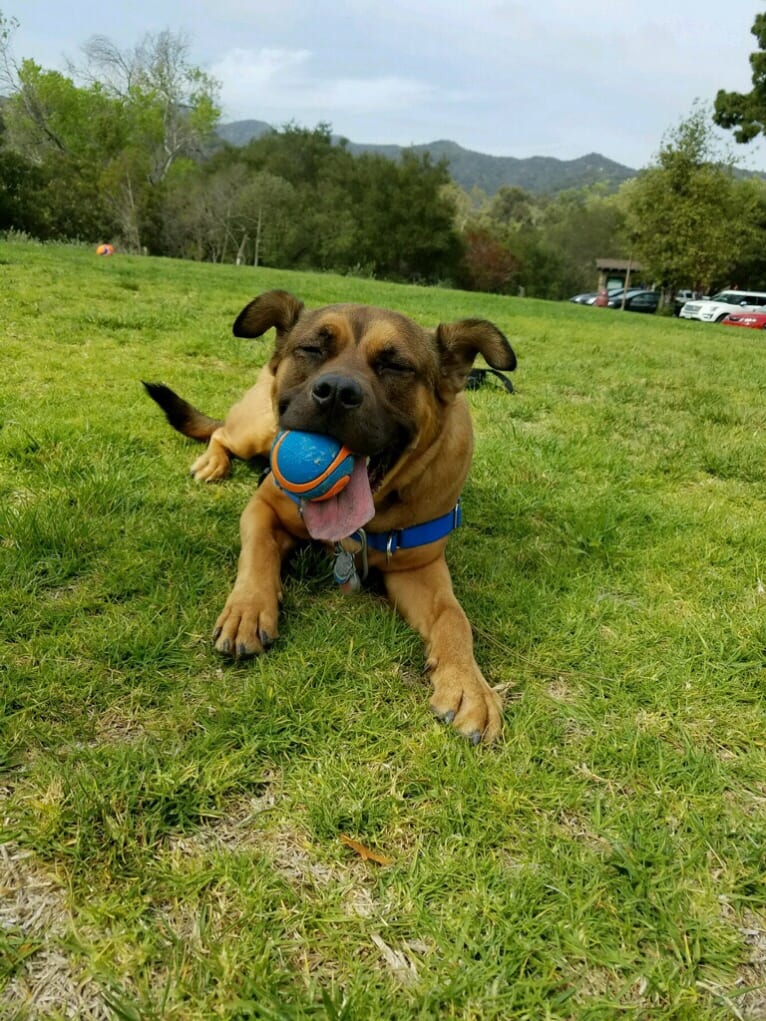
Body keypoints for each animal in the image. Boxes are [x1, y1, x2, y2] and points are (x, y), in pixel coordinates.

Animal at [145, 287, 516, 743]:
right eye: (312, 349)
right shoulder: (263, 508)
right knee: (219, 434)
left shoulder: (419, 568)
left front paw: (468, 685)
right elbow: (257, 554)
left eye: (395, 365)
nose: (336, 391)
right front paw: (248, 609)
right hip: (254, 429)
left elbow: (453, 618)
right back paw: (213, 462)